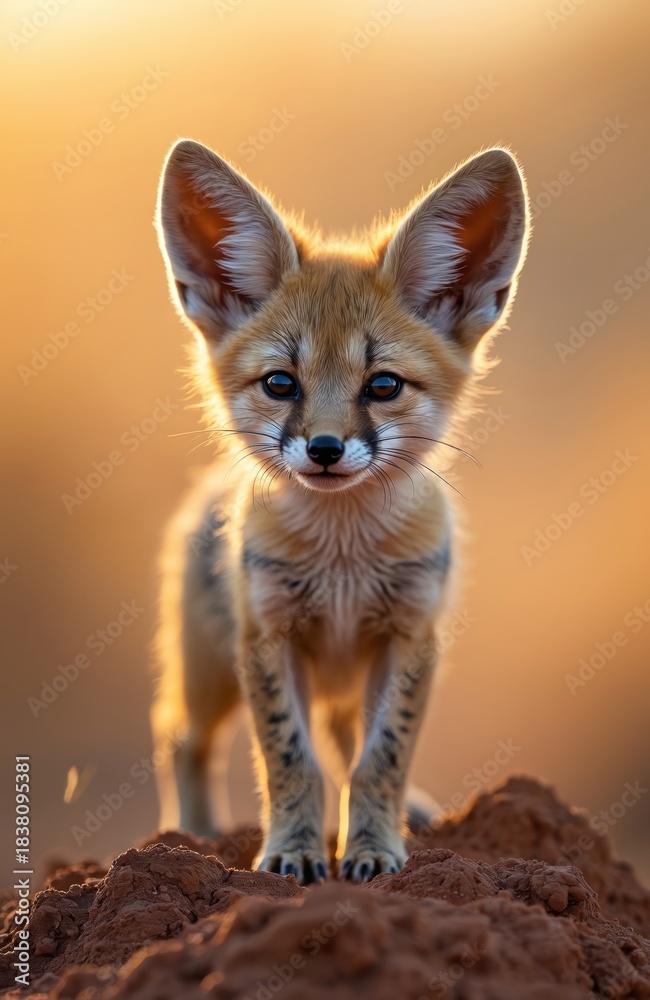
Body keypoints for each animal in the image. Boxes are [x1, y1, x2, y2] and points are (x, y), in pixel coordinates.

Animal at [152, 138, 529, 884]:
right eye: (280, 383)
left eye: (382, 386)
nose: (324, 449)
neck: (343, 561)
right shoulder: (270, 639)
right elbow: (290, 760)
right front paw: (293, 851)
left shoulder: (409, 638)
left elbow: (379, 758)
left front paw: (374, 848)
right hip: (209, 671)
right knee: (181, 738)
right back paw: (192, 837)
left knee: (344, 740)